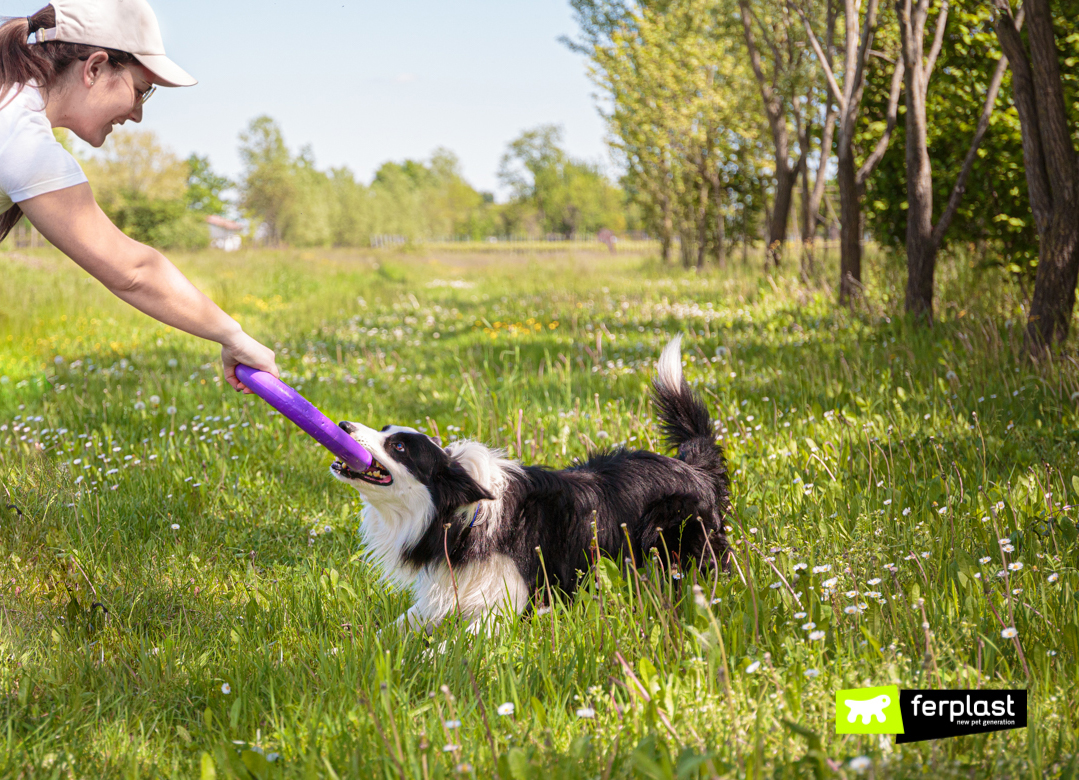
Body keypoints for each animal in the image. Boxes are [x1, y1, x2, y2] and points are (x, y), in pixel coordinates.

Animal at [332, 336, 729, 634]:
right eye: (384, 430)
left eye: (399, 447)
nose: (342, 426)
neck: (463, 520)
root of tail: (693, 467)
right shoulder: (446, 590)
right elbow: (392, 629)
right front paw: (347, 648)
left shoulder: (510, 602)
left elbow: (456, 643)